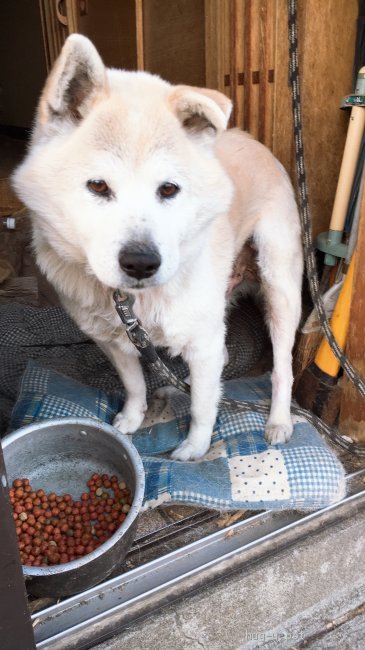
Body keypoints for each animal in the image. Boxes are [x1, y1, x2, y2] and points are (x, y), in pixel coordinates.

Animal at [12, 35, 302, 460]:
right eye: (98, 186)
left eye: (168, 189)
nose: (141, 262)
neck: (134, 301)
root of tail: (253, 140)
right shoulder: (114, 341)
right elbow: (135, 386)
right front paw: (131, 420)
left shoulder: (201, 342)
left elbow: (201, 406)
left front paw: (195, 448)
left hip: (280, 289)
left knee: (283, 367)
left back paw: (279, 421)